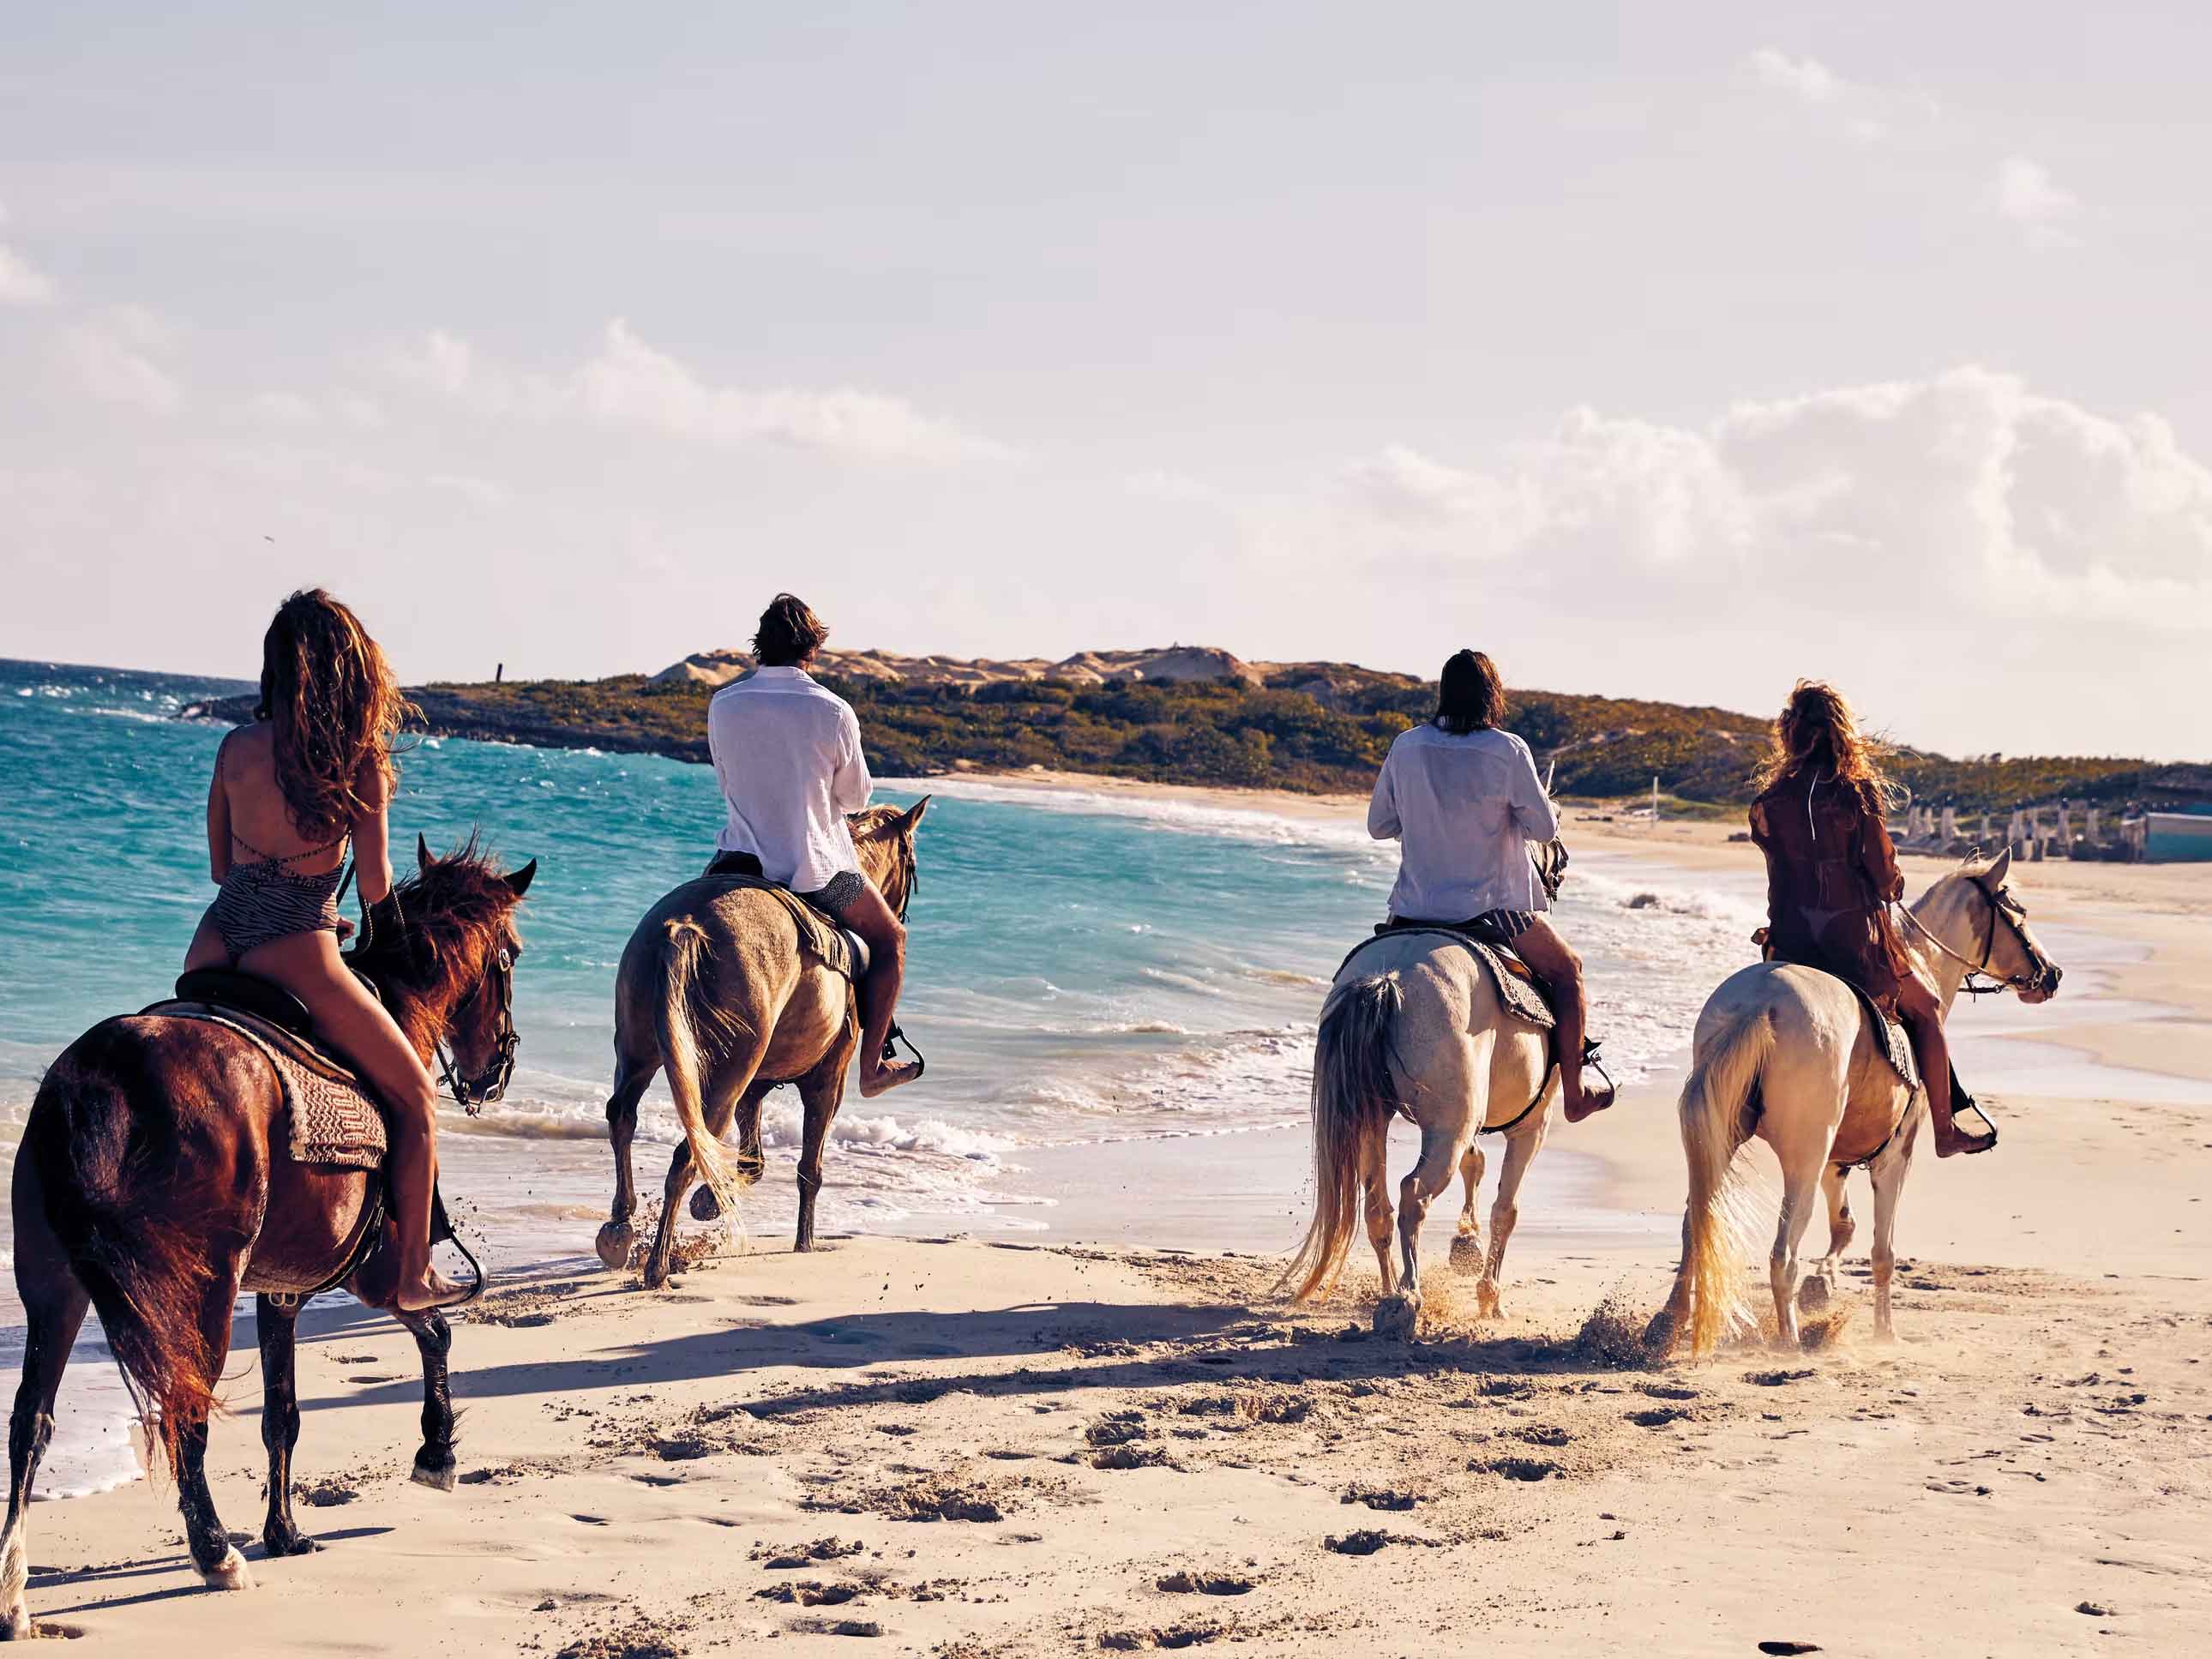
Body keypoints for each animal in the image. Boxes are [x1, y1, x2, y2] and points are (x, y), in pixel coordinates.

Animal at [1, 845, 535, 1637]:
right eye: (513, 955)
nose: (495, 1072)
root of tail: (102, 1071)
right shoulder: (375, 1271)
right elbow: (435, 1329)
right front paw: (436, 1451)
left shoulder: (282, 1289)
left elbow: (282, 1414)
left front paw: (286, 1529)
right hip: (202, 1287)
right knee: (186, 1409)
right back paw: (214, 1552)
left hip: (53, 1285)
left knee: (30, 1421)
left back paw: (14, 1591)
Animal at [597, 805, 924, 1283]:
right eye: (912, 865)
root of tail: (685, 926)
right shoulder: (828, 1081)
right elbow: (809, 1169)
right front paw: (804, 1244)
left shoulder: (757, 1083)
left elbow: (752, 1159)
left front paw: (711, 1201)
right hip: (725, 1076)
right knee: (688, 1152)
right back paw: (658, 1265)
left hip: (642, 1053)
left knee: (623, 1117)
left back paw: (620, 1228)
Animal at [1283, 937, 1574, 1336]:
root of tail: (1389, 977)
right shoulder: (1532, 1125)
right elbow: (1506, 1210)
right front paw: (1490, 1299)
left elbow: (1476, 1164)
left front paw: (1467, 1240)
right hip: (1449, 1128)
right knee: (1414, 1193)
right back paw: (1408, 1297)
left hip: (1373, 1121)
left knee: (1378, 1207)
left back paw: (1390, 1292)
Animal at [1645, 849, 2053, 1353]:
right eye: (2019, 912)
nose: (2052, 974)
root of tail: (1761, 1004)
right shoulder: (1894, 1157)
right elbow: (1882, 1252)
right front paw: (1885, 1332)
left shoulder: (1835, 1160)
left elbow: (1845, 1225)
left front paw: (1822, 1285)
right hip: (1803, 1154)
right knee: (1782, 1253)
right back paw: (1790, 1343)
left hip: (1721, 1139)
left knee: (1695, 1227)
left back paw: (1668, 1322)